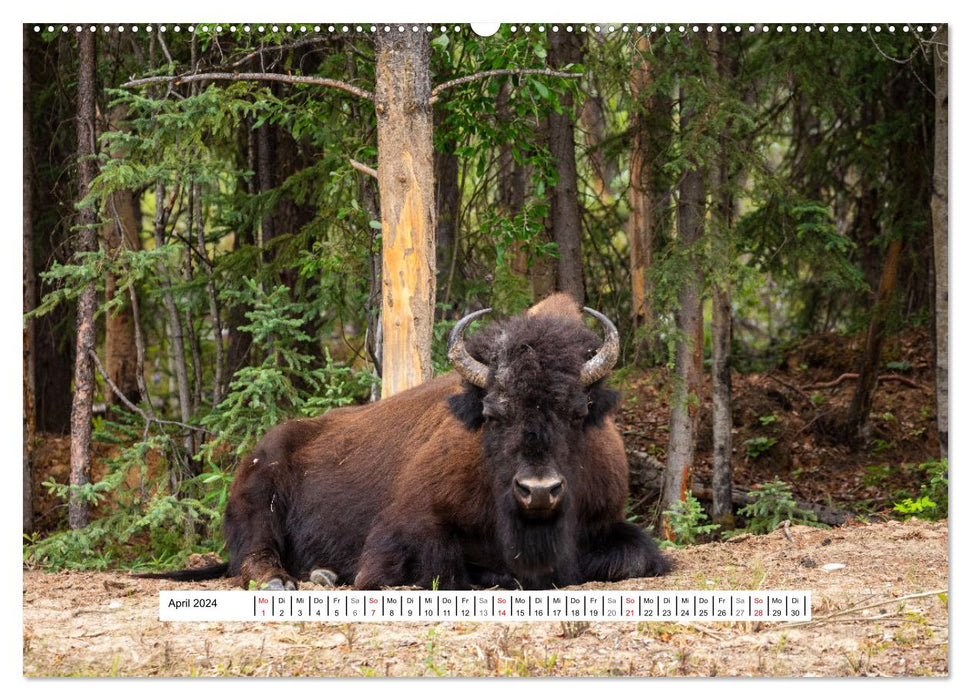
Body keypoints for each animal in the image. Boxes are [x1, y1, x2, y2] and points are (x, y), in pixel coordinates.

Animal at [142, 292, 668, 588]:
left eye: (578, 413)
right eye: (494, 413)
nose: (538, 491)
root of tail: (259, 450)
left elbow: (635, 556)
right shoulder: (400, 536)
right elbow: (441, 568)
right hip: (258, 502)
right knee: (251, 557)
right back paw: (286, 582)